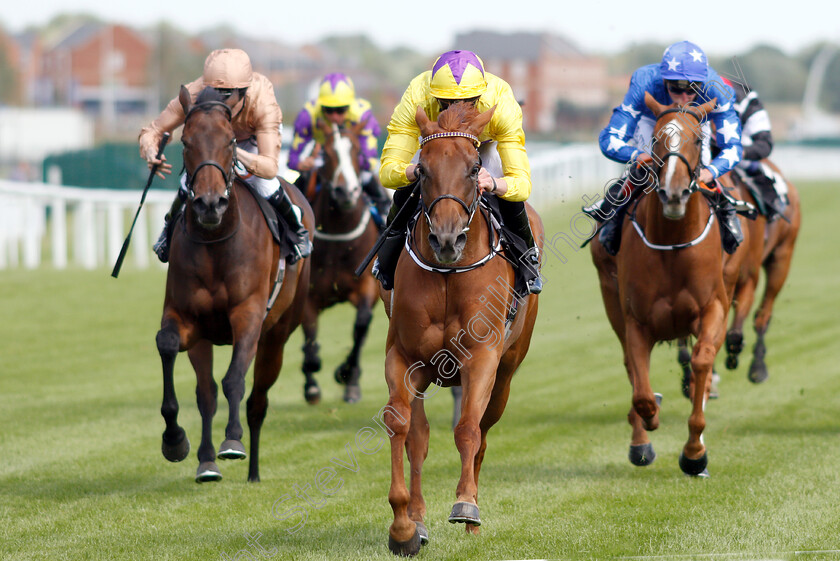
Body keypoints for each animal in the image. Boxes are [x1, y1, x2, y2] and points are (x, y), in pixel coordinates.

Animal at [156, 86, 314, 482]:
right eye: (186, 142)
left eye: (230, 142)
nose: (210, 204)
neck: (216, 243)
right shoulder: (188, 320)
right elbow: (174, 353)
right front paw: (177, 442)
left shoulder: (248, 315)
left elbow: (233, 381)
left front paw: (232, 441)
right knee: (208, 393)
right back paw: (208, 460)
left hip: (278, 334)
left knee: (258, 400)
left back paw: (253, 468)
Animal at [298, 121, 380, 402]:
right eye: (326, 153)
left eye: (356, 151)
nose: (346, 191)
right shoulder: (310, 295)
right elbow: (310, 339)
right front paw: (311, 382)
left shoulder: (367, 286)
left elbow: (362, 326)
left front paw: (346, 374)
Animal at [378, 103, 540, 552]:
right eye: (422, 169)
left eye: (473, 169)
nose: (446, 240)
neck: (449, 274)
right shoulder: (404, 357)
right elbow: (401, 426)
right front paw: (403, 526)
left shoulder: (481, 358)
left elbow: (467, 428)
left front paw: (466, 505)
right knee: (419, 436)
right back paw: (417, 518)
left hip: (507, 372)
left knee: (483, 430)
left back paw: (472, 517)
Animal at [592, 92, 740, 476]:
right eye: (657, 140)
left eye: (699, 139)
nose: (674, 193)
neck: (673, 242)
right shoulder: (636, 320)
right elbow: (641, 389)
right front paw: (649, 421)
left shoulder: (713, 308)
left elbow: (702, 362)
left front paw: (695, 453)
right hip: (610, 299)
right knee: (631, 370)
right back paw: (641, 437)